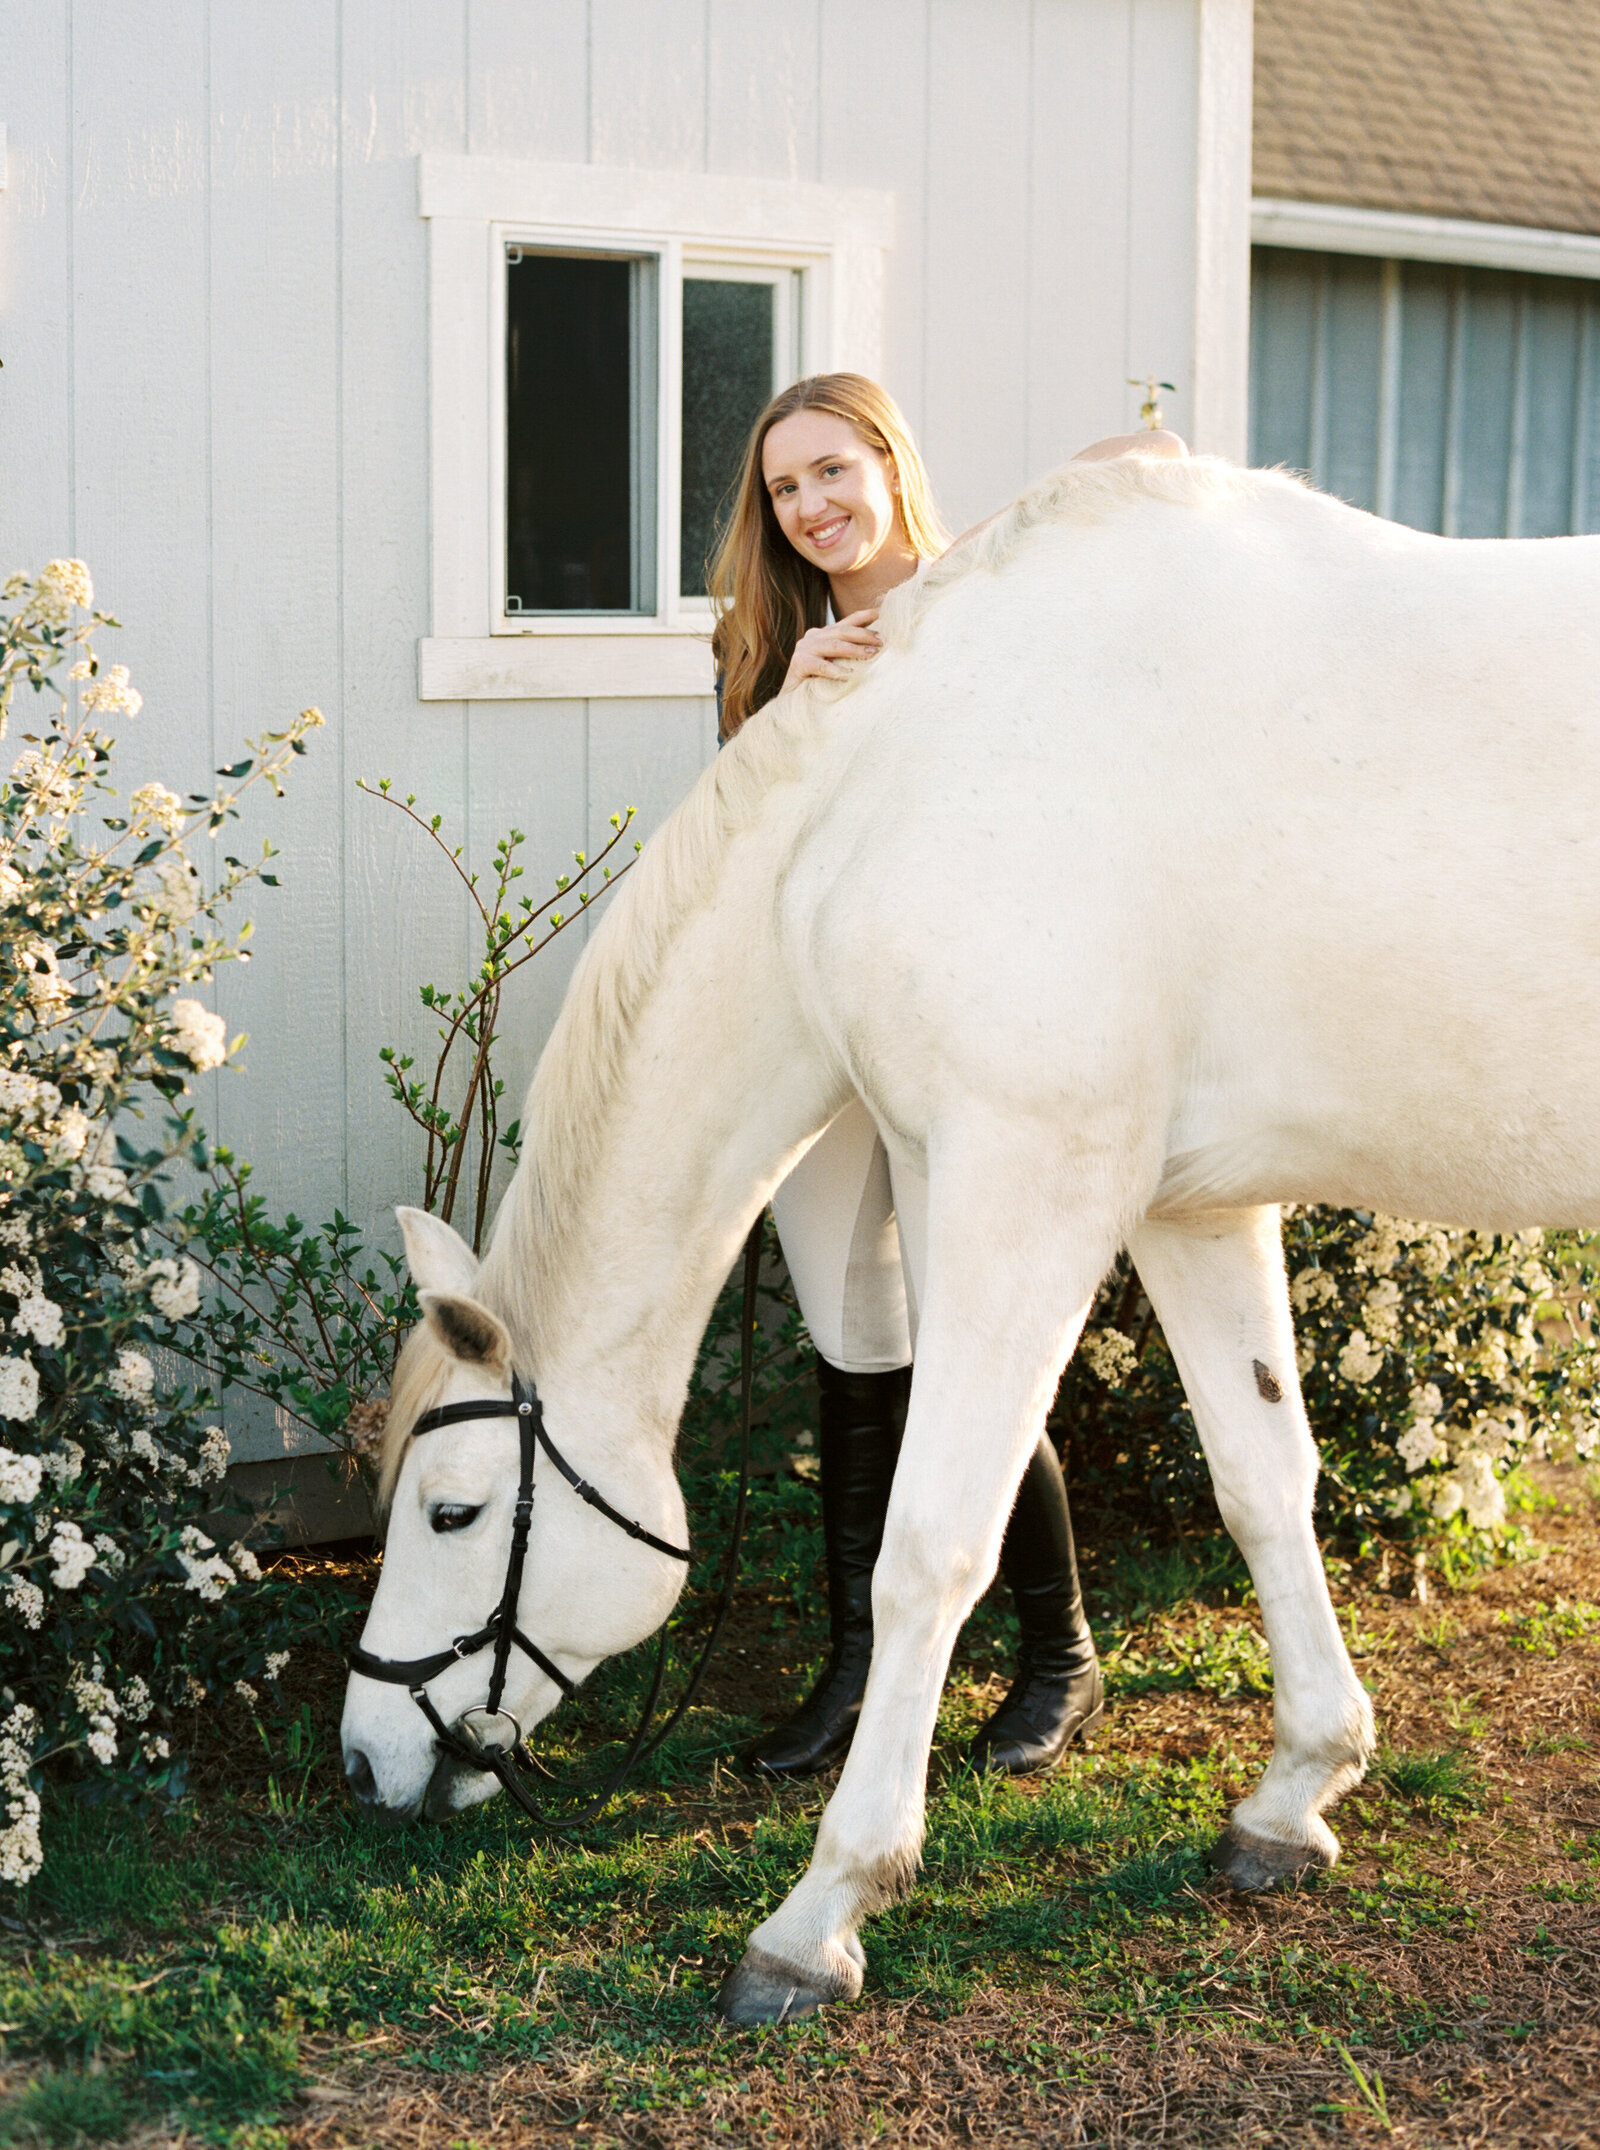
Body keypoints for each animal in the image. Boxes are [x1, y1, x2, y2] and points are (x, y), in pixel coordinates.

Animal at [339, 453, 1600, 2012]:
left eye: (451, 1511)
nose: (364, 1758)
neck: (905, 782)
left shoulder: (1027, 1181)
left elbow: (934, 1539)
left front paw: (820, 1909)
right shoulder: (1185, 1203)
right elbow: (1262, 1480)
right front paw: (1296, 1789)